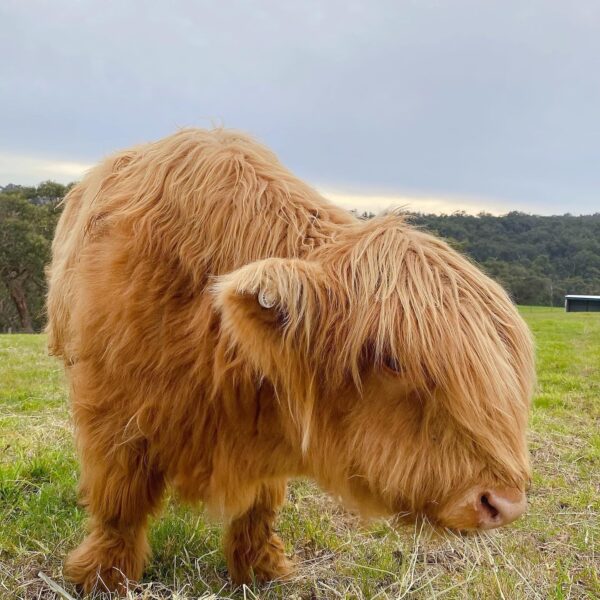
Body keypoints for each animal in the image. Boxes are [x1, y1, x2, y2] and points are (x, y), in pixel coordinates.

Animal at [45, 129, 536, 592]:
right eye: (392, 360)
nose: (503, 503)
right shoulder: (111, 417)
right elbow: (119, 505)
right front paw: (103, 577)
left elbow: (259, 508)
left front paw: (261, 569)